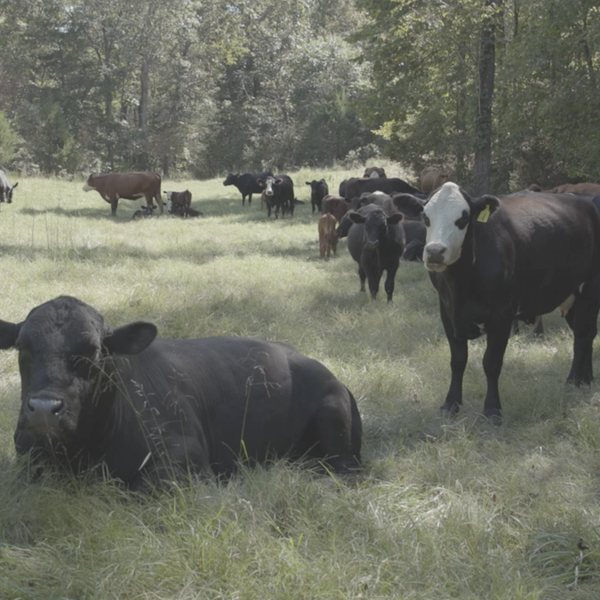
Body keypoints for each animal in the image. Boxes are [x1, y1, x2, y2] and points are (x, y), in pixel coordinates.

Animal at [0, 298, 360, 490]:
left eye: (93, 351)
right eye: (22, 347)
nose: (43, 408)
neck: (83, 452)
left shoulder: (187, 461)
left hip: (334, 421)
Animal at [422, 180, 600, 420]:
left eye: (463, 217)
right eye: (425, 216)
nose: (434, 251)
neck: (463, 284)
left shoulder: (502, 315)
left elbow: (491, 362)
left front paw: (492, 410)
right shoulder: (448, 312)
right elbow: (458, 360)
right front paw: (451, 404)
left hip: (590, 289)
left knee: (583, 335)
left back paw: (574, 380)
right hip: (571, 295)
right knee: (587, 334)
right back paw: (586, 378)